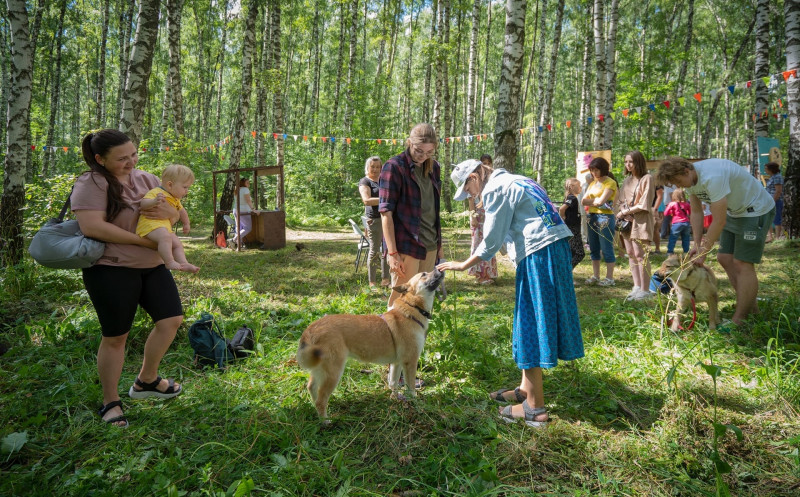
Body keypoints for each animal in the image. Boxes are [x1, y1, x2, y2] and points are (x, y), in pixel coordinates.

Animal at [296, 268, 444, 418]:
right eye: (424, 275)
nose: (439, 269)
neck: (413, 308)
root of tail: (311, 328)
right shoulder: (410, 362)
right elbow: (411, 389)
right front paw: (416, 405)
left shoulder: (397, 363)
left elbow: (393, 383)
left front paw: (395, 399)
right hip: (333, 372)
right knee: (321, 399)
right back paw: (325, 420)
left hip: (320, 369)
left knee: (311, 387)